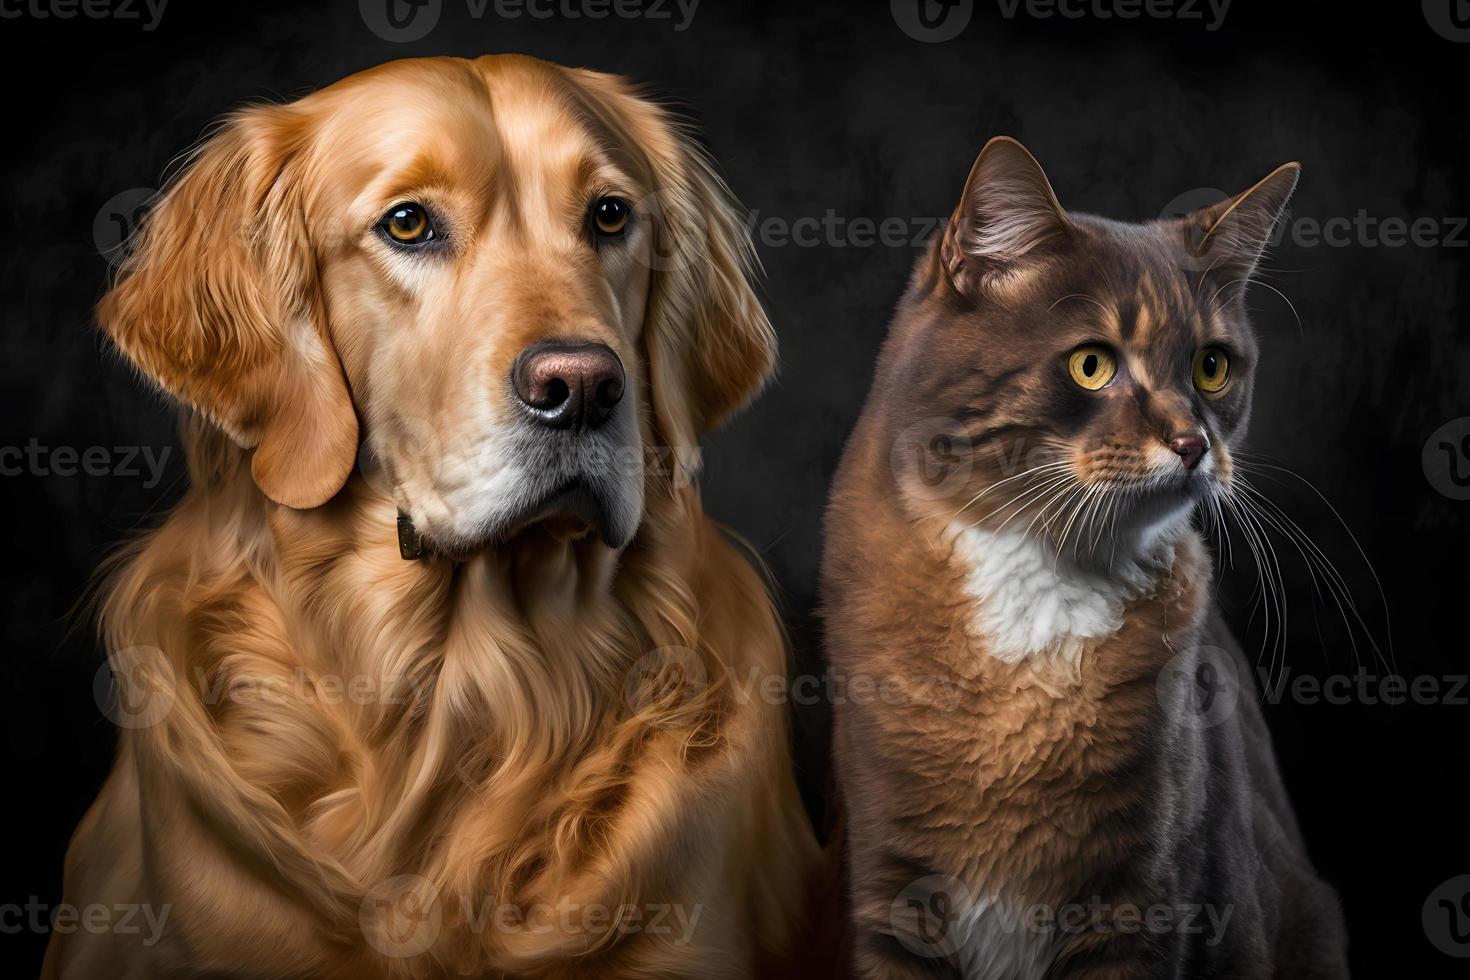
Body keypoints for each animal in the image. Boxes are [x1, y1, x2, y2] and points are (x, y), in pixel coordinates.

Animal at [823, 139, 1346, 980]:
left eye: (1212, 367)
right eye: (1092, 365)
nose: (1193, 444)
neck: (1040, 583)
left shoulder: (1142, 902)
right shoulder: (891, 891)